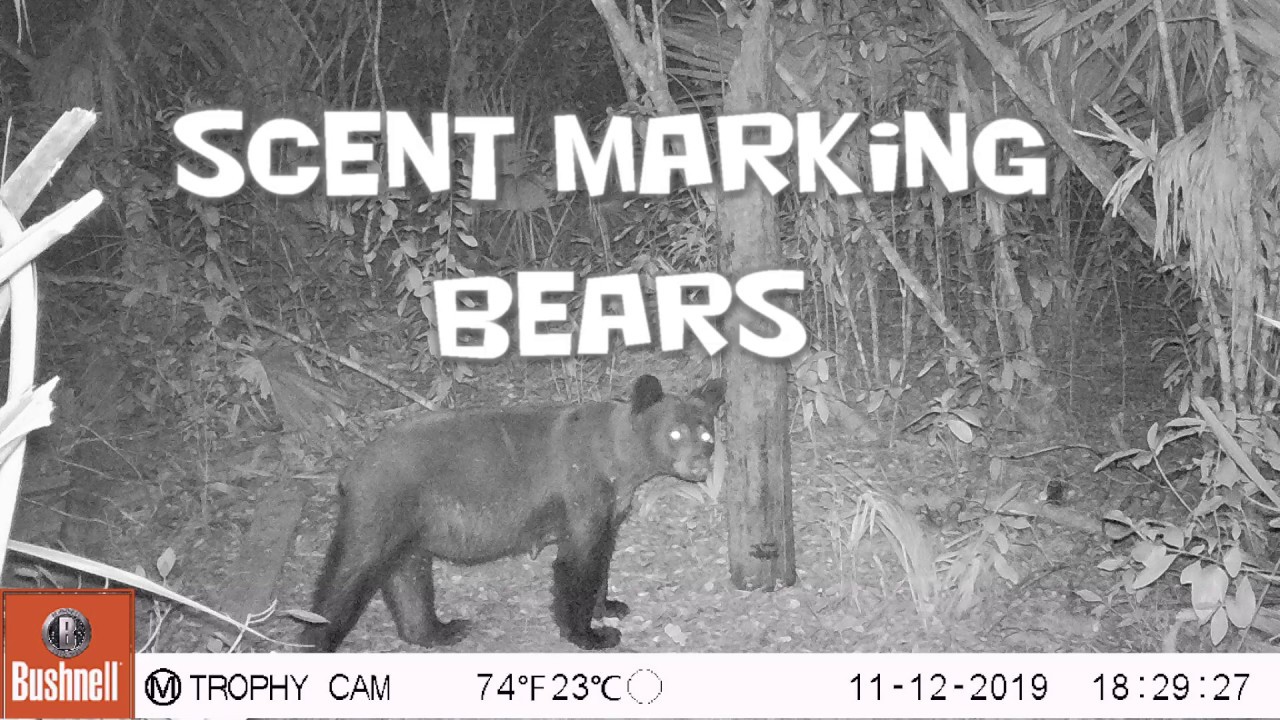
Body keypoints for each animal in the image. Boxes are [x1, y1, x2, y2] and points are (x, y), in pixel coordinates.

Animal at [303, 374, 726, 651]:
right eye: (674, 433)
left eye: (707, 434)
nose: (699, 466)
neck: (620, 461)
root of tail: (350, 471)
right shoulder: (582, 497)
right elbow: (578, 567)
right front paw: (590, 635)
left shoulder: (610, 513)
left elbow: (602, 563)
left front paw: (610, 606)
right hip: (377, 512)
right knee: (345, 579)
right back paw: (315, 641)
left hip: (409, 531)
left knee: (408, 579)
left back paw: (441, 631)